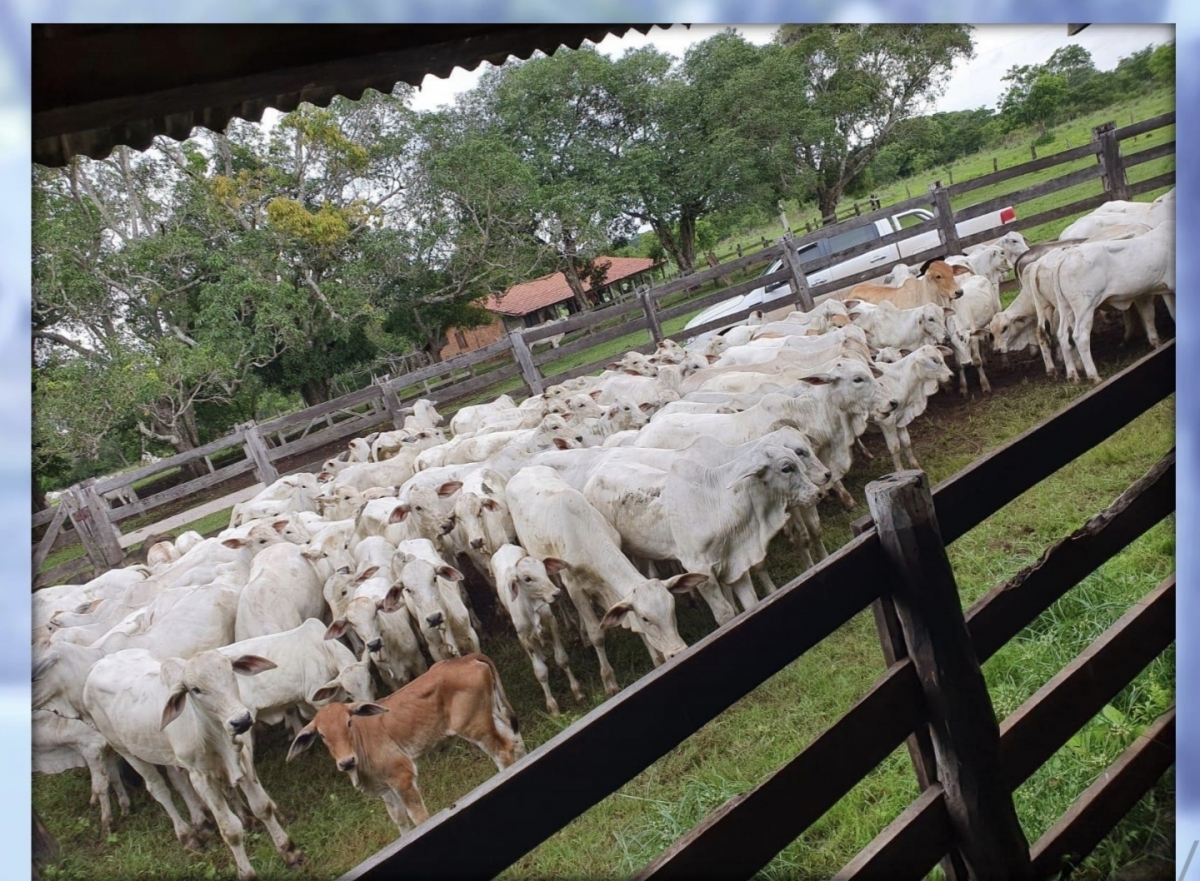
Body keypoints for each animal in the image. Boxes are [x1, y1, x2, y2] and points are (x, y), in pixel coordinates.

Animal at [81, 643, 302, 878]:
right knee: (158, 788)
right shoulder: (202, 778)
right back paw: (186, 835)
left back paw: (202, 824)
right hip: (126, 750)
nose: (241, 721)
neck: (215, 735)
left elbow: (262, 808)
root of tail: (99, 663)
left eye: (231, 672)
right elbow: (230, 830)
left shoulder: (243, 761)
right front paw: (247, 873)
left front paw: (289, 851)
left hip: (167, 754)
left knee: (179, 782)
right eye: (195, 689)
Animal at [285, 657, 525, 835]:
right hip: (492, 715)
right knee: (515, 741)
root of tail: (467, 658)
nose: (346, 762)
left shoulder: (402, 778)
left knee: (503, 751)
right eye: (322, 735)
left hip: (475, 726)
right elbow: (400, 820)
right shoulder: (386, 788)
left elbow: (419, 818)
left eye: (349, 723)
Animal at [487, 544, 580, 720]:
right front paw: (553, 707)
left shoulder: (551, 623)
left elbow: (562, 659)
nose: (556, 593)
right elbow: (540, 672)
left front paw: (577, 691)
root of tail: (504, 546)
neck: (530, 608)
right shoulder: (524, 637)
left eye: (544, 570)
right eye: (527, 579)